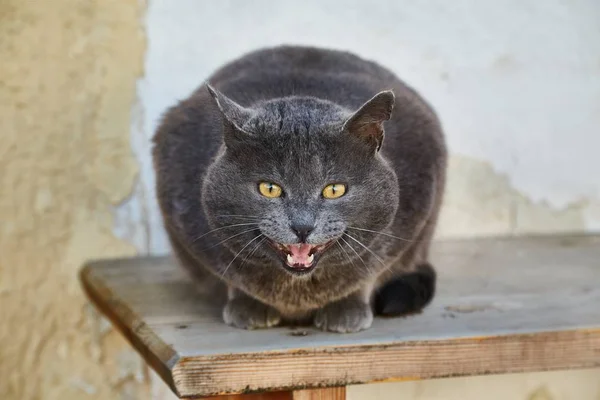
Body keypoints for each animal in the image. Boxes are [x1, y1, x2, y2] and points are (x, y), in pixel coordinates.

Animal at [152, 45, 448, 332]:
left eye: (334, 190)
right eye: (269, 188)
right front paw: (248, 307)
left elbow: (369, 270)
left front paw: (347, 311)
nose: (302, 226)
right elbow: (233, 278)